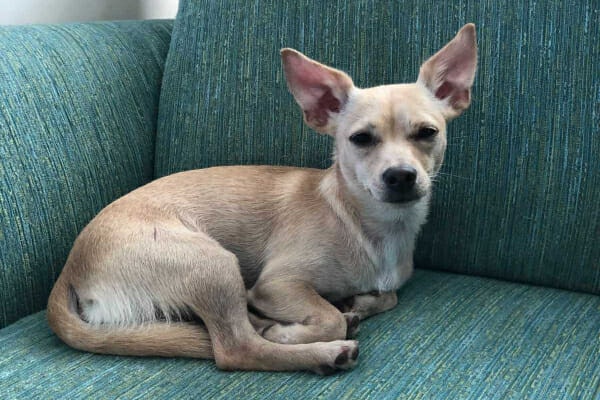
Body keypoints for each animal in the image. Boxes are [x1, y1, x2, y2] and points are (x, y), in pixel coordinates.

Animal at [47, 24, 478, 376]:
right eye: (360, 139)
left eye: (427, 133)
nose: (400, 176)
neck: (370, 223)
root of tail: (70, 270)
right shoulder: (277, 285)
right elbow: (328, 318)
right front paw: (303, 329)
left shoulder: (385, 283)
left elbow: (387, 296)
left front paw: (356, 303)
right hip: (215, 266)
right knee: (236, 347)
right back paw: (317, 349)